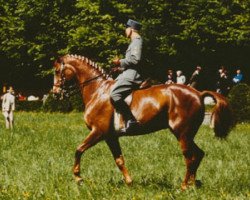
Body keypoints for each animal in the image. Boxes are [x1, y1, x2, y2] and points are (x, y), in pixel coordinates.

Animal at [51, 54, 233, 189]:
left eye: (57, 71)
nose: (55, 93)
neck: (98, 90)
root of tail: (198, 93)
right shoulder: (111, 137)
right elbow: (119, 160)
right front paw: (129, 182)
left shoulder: (98, 132)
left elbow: (78, 149)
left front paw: (78, 178)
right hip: (187, 134)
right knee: (198, 154)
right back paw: (193, 184)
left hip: (182, 133)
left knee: (190, 157)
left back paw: (183, 186)